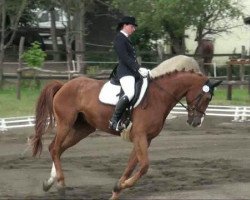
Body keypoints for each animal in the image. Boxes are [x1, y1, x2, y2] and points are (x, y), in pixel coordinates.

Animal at [32, 55, 222, 200]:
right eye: (206, 98)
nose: (196, 122)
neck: (159, 97)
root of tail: (63, 85)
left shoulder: (145, 139)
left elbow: (131, 165)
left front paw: (117, 189)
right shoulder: (140, 136)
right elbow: (144, 166)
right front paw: (123, 185)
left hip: (83, 128)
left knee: (58, 149)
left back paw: (50, 183)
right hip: (66, 123)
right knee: (54, 148)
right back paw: (61, 185)